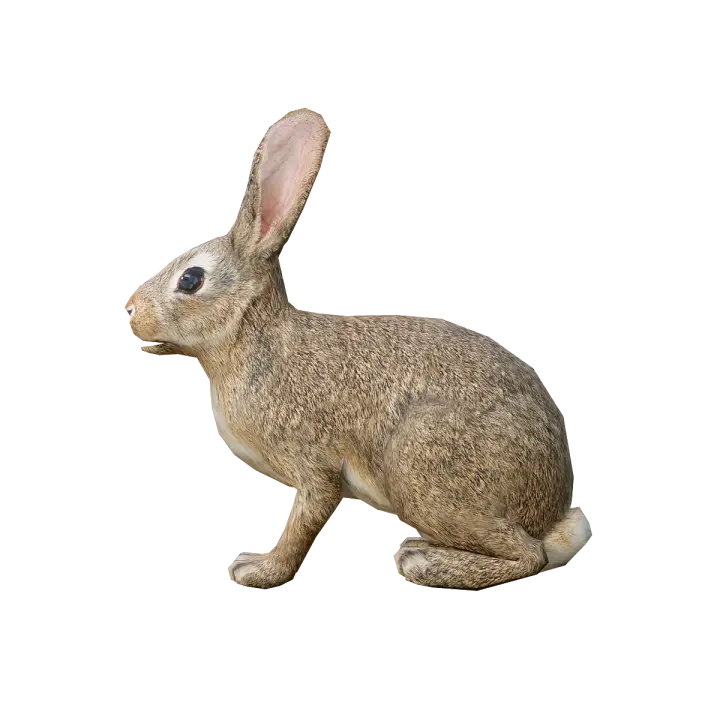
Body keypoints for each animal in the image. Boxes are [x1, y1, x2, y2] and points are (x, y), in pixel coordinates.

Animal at [124, 108, 591, 589]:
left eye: (190, 279)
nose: (130, 312)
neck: (253, 341)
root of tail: (552, 509)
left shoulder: (309, 463)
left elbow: (306, 519)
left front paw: (258, 569)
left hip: (423, 467)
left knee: (529, 554)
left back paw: (424, 562)